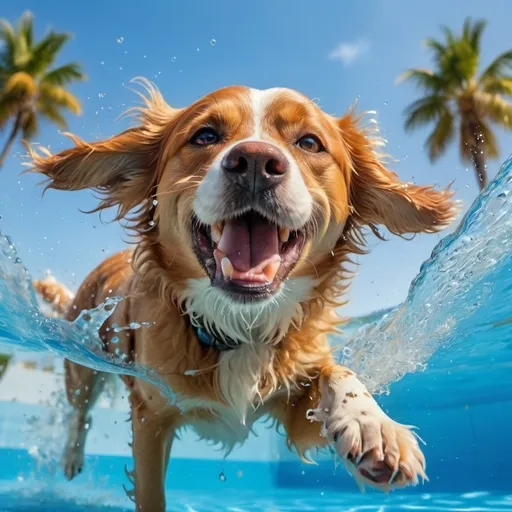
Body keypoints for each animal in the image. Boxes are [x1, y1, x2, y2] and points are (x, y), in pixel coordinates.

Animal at [28, 82, 456, 510]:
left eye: (310, 142)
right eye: (205, 135)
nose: (255, 161)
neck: (239, 325)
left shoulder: (296, 405)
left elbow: (337, 371)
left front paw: (371, 425)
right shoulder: (151, 414)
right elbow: (151, 495)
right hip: (84, 366)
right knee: (78, 412)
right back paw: (71, 456)